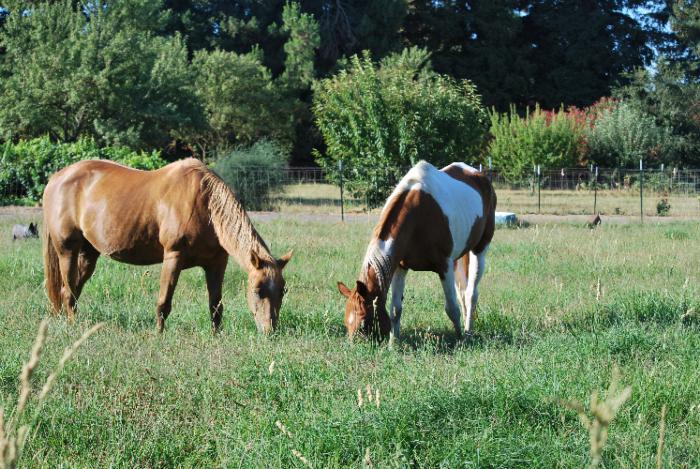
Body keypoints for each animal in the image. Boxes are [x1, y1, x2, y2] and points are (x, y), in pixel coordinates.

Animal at [41, 158, 292, 332]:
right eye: (257, 290)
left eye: (283, 290)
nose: (269, 331)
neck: (205, 205)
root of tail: (56, 178)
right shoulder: (173, 257)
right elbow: (164, 303)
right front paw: (158, 336)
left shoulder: (217, 263)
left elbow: (216, 306)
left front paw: (216, 336)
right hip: (67, 250)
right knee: (68, 292)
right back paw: (73, 327)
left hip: (89, 254)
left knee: (72, 290)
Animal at [336, 161, 494, 340]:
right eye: (345, 322)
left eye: (363, 323)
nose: (355, 345)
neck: (417, 218)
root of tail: (481, 176)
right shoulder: (399, 267)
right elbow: (395, 309)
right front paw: (394, 342)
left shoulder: (444, 267)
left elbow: (452, 309)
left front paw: (460, 339)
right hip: (457, 260)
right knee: (462, 293)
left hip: (479, 250)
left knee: (470, 294)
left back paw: (468, 332)